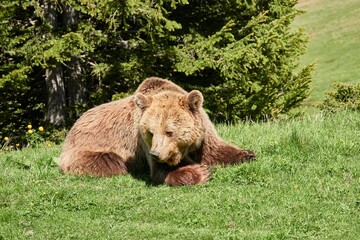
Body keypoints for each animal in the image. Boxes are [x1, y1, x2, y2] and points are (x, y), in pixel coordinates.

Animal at [59, 78, 256, 187]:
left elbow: (216, 150)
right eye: (150, 132)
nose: (155, 153)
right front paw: (199, 172)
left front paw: (247, 154)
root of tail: (74, 125)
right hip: (84, 150)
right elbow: (161, 171)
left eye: (169, 132)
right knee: (111, 162)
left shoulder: (203, 134)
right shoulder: (142, 142)